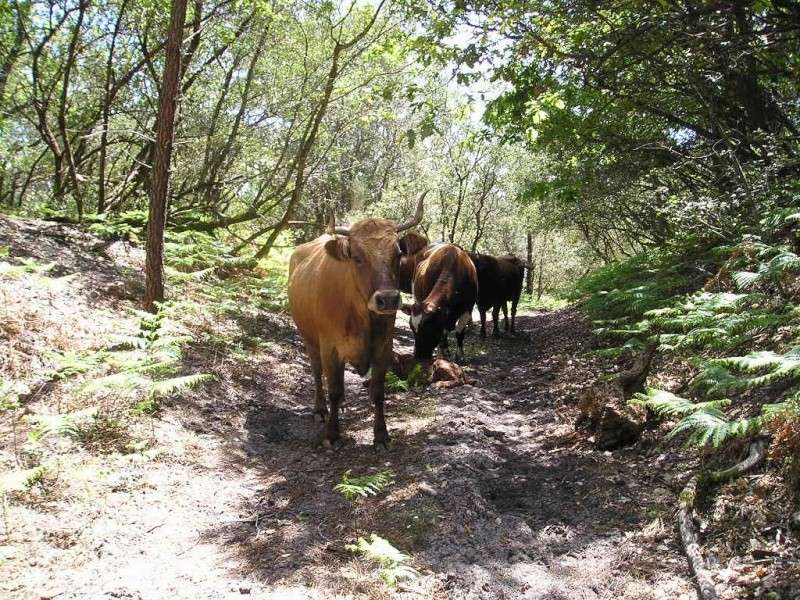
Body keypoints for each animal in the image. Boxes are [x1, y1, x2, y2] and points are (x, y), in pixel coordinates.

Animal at [286, 195, 424, 448]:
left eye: (398, 254)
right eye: (357, 257)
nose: (388, 299)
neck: (361, 317)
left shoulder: (384, 346)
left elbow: (378, 392)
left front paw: (381, 435)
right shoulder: (330, 348)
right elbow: (333, 388)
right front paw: (332, 434)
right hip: (309, 339)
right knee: (317, 372)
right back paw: (321, 409)